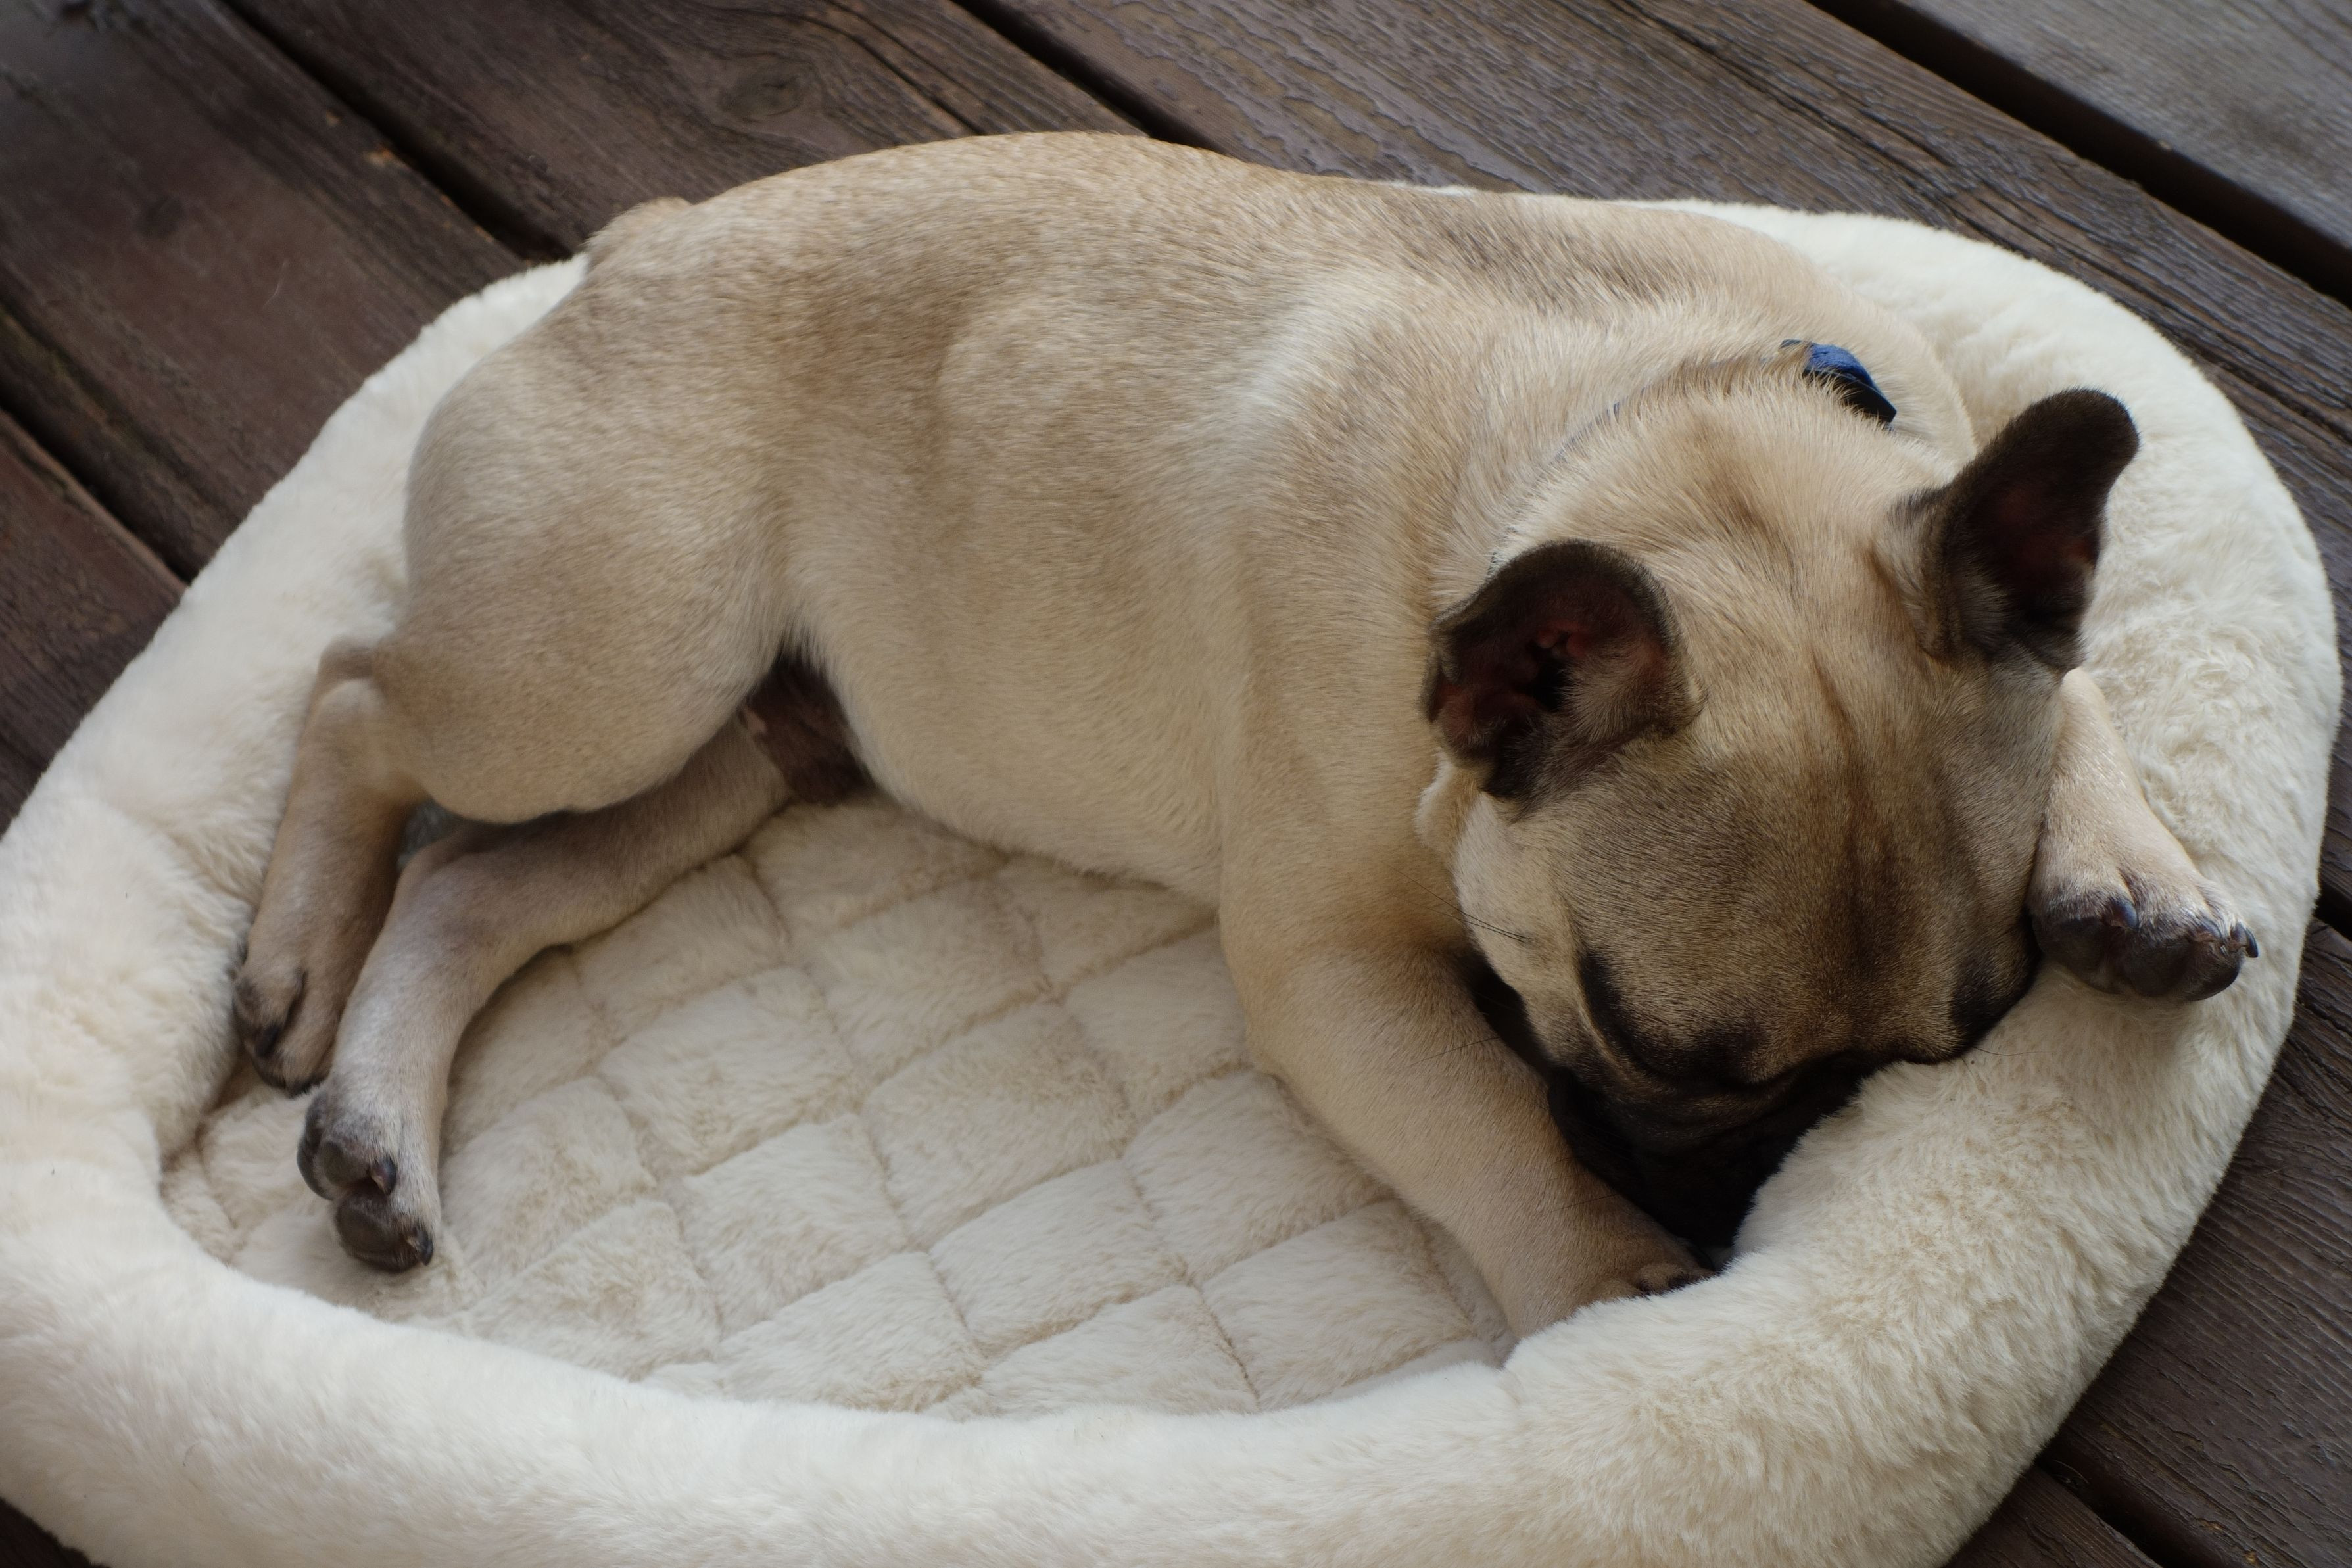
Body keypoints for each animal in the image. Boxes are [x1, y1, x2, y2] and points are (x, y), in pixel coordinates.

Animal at [233, 135, 2253, 1336]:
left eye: (1946, 1054)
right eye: (1631, 1036)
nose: (1768, 1169)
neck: (1645, 425)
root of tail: (635, 251)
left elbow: (2080, 686)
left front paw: (2137, 872)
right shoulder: (1330, 969)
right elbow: (1484, 1119)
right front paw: (1604, 1278)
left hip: (733, 750)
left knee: (482, 888)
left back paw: (376, 1133)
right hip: (607, 662)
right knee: (355, 699)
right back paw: (289, 959)